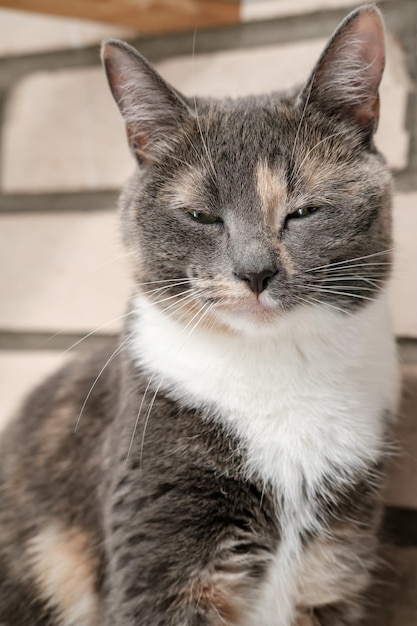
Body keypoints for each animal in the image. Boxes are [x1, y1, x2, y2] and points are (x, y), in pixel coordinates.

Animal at [0, 4, 400, 624]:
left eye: (304, 211)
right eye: (202, 216)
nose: (256, 272)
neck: (277, 371)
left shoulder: (334, 564)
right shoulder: (162, 552)